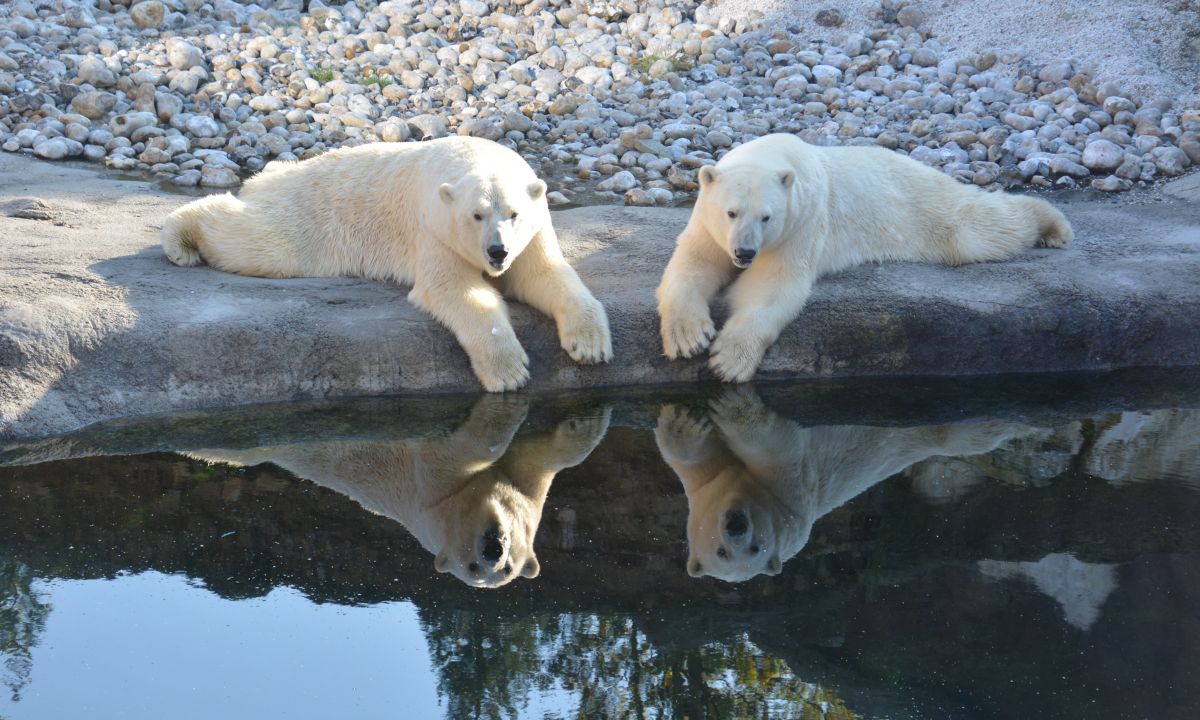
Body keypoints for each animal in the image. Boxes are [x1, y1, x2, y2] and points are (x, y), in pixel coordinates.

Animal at [159, 137, 609, 391]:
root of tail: (269, 175)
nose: (497, 252)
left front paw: (589, 346)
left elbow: (544, 275)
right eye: (477, 215)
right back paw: (180, 238)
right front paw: (509, 371)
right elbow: (455, 290)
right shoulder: (434, 227)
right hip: (311, 215)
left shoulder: (533, 231)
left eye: (514, 213)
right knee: (260, 241)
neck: (476, 157)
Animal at [186, 396, 609, 588]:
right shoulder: (432, 495)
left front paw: (586, 421)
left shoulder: (526, 491)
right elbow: (457, 451)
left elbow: (540, 461)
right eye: (471, 567)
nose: (493, 548)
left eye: (507, 568)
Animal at [657, 386, 1041, 583]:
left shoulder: (791, 498)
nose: (736, 524)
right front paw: (685, 419)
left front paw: (734, 406)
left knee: (974, 432)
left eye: (756, 548)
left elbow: (779, 448)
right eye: (721, 553)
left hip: (940, 429)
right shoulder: (706, 487)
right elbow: (694, 456)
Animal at [662, 134, 1075, 381]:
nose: (745, 252)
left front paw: (728, 361)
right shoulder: (707, 222)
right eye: (730, 212)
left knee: (978, 228)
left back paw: (1052, 226)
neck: (774, 155)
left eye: (767, 216)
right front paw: (689, 338)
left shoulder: (802, 222)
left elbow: (773, 285)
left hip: (926, 207)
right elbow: (693, 264)